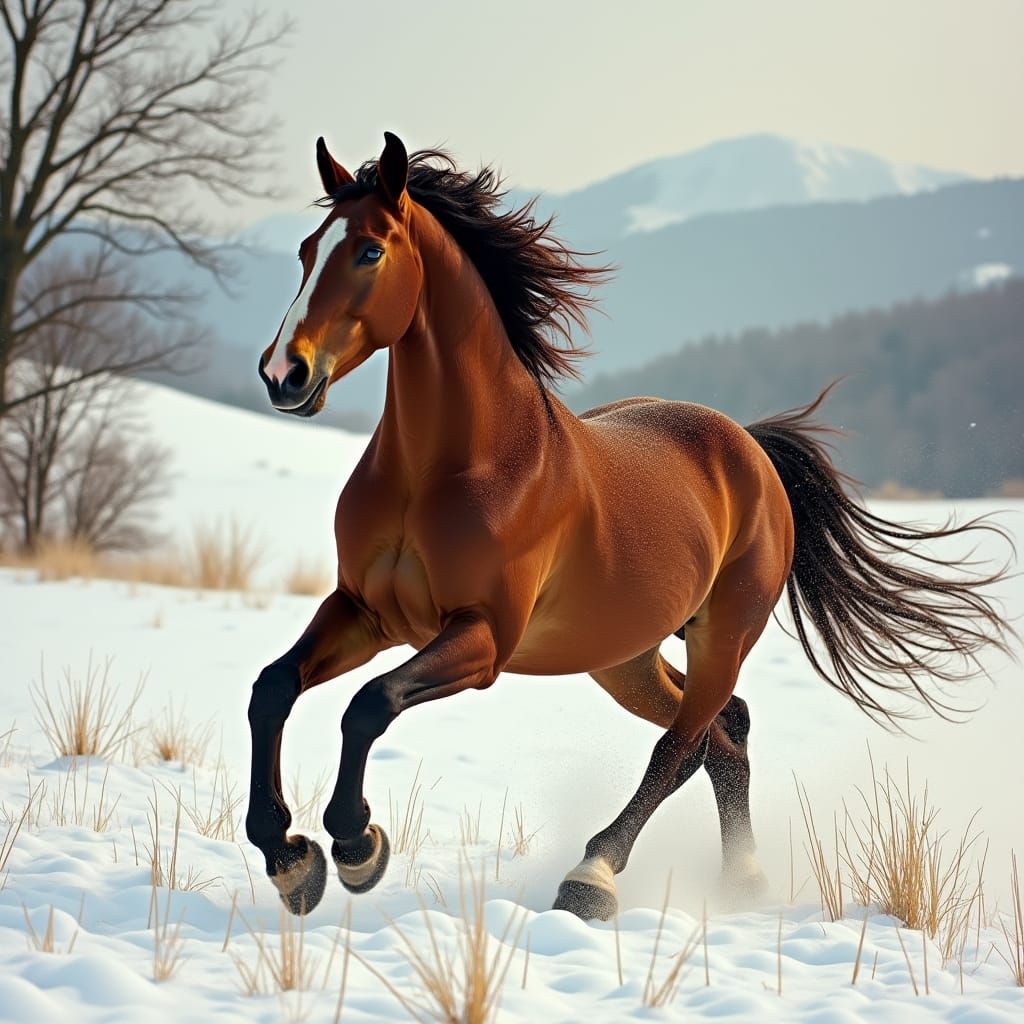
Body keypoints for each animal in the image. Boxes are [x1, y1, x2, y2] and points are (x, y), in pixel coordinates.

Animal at [245, 132, 1011, 920]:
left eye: (369, 251)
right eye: (307, 249)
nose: (284, 374)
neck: (452, 467)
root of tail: (747, 446)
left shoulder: (483, 637)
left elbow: (370, 704)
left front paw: (354, 845)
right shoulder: (364, 611)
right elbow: (272, 688)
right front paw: (289, 859)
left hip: (723, 634)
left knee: (682, 746)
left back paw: (593, 878)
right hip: (625, 656)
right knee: (723, 733)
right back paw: (742, 882)